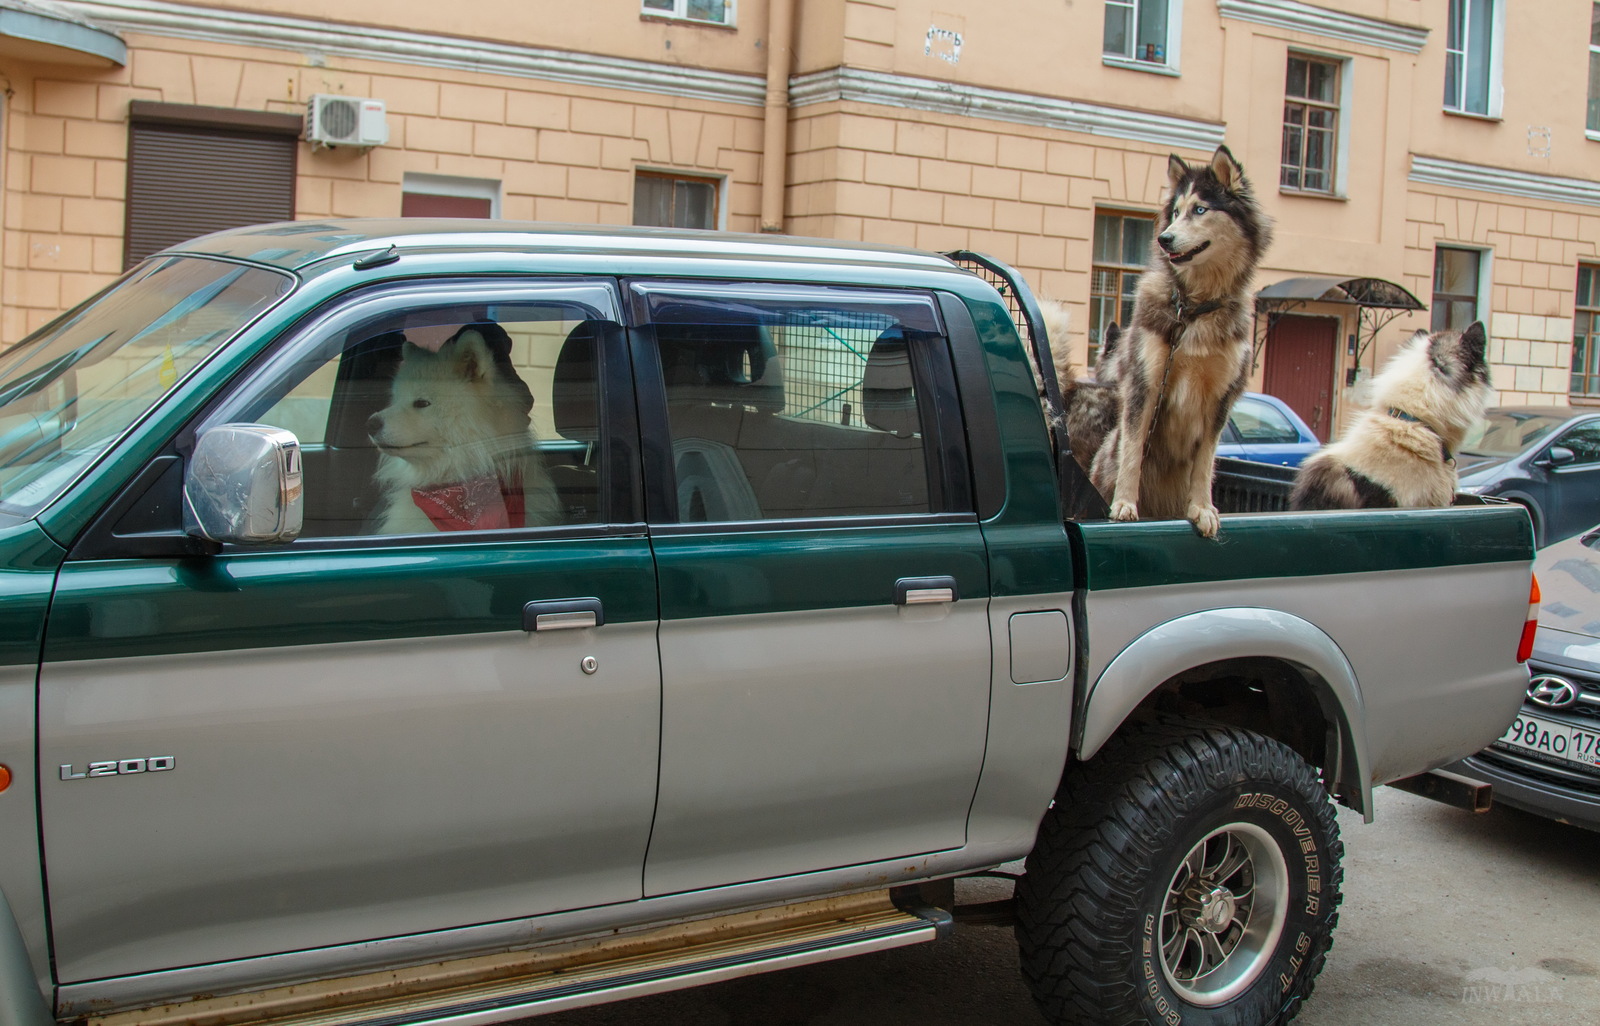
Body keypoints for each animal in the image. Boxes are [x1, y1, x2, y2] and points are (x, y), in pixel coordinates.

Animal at [1088, 150, 1273, 544]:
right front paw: (1124, 504)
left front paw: (1202, 507)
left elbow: (1205, 462)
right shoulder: (1145, 383)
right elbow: (1133, 450)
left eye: (1200, 210)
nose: (1164, 239)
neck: (1192, 307)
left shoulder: (1221, 398)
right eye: (1175, 212)